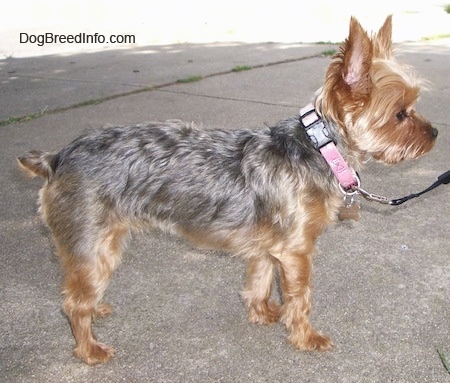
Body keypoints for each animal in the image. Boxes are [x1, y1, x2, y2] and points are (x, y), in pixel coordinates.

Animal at [16, 17, 436, 366]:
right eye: (400, 114)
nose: (434, 133)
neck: (320, 147)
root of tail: (57, 158)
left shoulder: (270, 247)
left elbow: (260, 280)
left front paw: (264, 313)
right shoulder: (296, 251)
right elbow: (300, 298)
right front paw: (305, 337)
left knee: (78, 292)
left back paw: (96, 310)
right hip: (93, 241)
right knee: (73, 304)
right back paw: (89, 349)